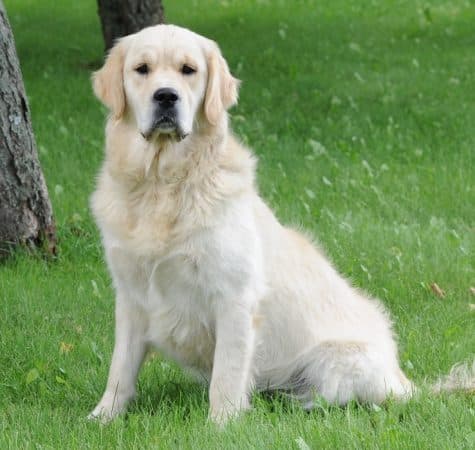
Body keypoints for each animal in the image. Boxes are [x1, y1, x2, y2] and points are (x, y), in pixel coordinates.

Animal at [88, 25, 472, 426]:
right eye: (142, 69)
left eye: (188, 70)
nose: (166, 96)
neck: (161, 185)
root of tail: (404, 381)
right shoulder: (131, 294)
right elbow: (121, 367)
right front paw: (103, 417)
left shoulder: (234, 298)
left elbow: (226, 376)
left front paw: (221, 425)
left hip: (338, 363)